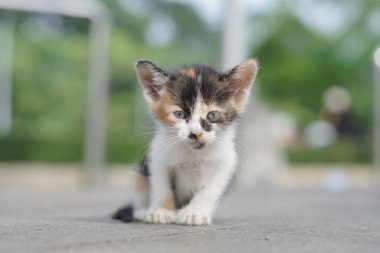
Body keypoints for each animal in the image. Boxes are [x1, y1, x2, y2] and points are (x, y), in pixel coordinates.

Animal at [111, 59, 256, 225]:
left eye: (213, 115)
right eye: (179, 114)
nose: (196, 133)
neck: (193, 153)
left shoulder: (226, 163)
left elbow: (210, 190)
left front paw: (194, 213)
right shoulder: (158, 157)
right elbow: (162, 186)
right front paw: (161, 211)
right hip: (139, 173)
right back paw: (141, 211)